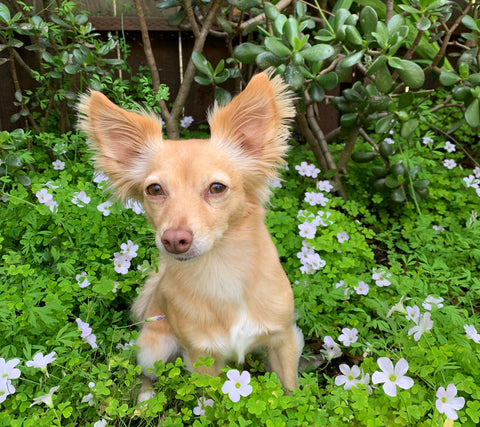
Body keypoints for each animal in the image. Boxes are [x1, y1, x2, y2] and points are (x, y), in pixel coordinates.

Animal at [79, 72, 304, 402]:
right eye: (154, 190)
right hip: (155, 348)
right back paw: (145, 400)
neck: (222, 269)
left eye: (217, 188)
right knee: (148, 375)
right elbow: (212, 405)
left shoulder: (284, 340)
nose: (174, 239)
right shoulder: (202, 359)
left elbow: (289, 393)